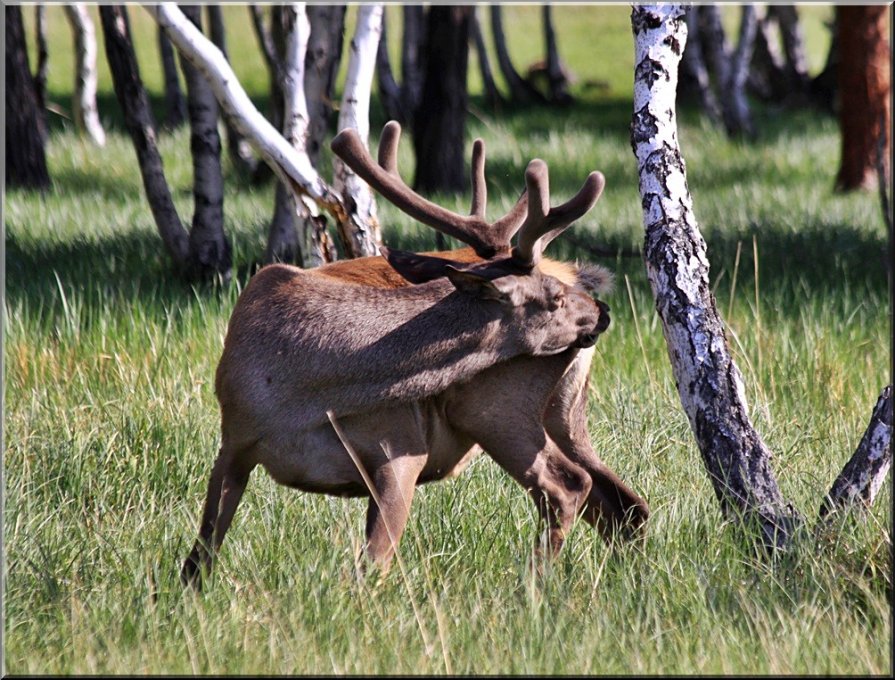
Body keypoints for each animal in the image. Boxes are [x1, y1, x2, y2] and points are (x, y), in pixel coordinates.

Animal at [181, 129, 616, 588]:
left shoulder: (402, 447)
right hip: (540, 413)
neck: (300, 391)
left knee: (572, 486)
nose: (601, 310)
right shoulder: (233, 440)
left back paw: (534, 584)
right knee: (607, 497)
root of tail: (573, 268)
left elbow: (371, 565)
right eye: (555, 299)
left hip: (499, 409)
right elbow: (198, 557)